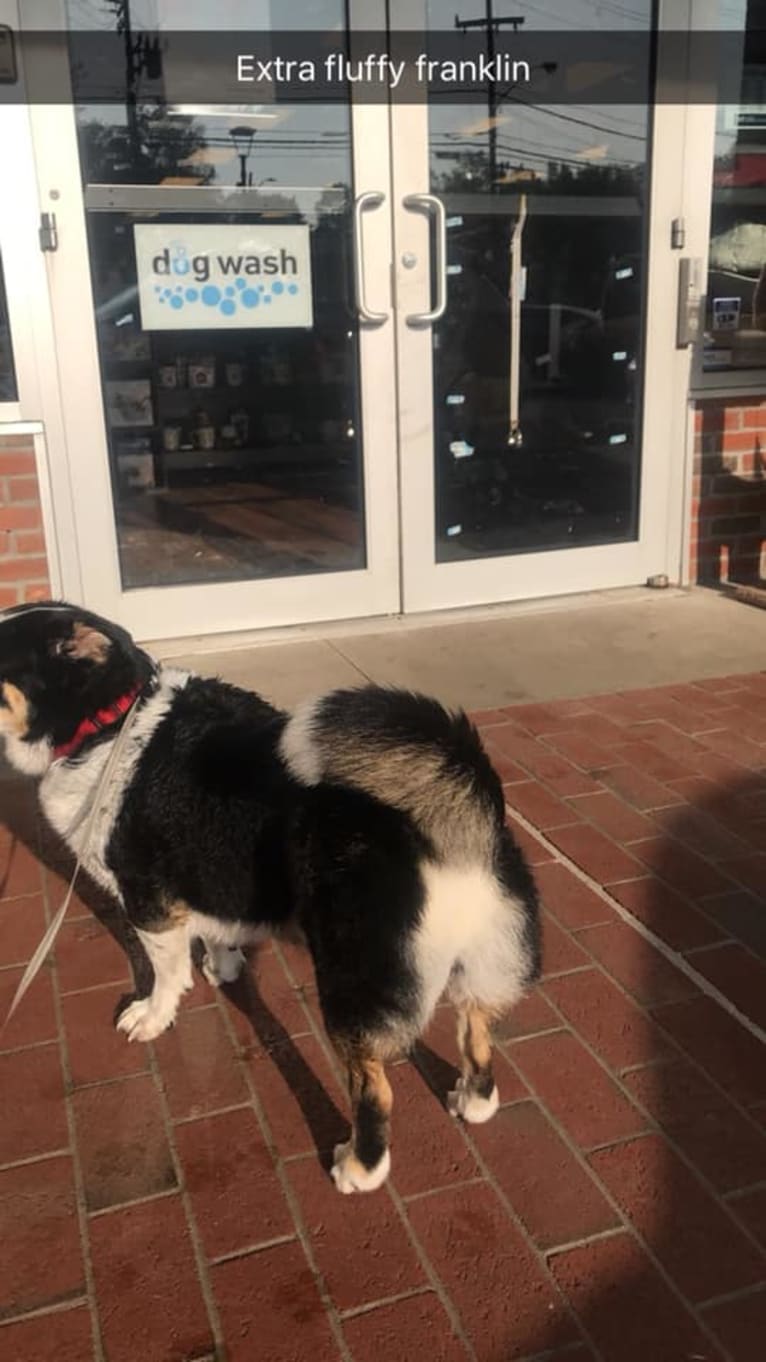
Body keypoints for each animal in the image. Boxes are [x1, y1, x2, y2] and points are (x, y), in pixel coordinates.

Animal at [0, 604, 537, 1193]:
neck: (106, 725)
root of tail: (457, 815)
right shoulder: (211, 880)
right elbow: (216, 933)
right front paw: (224, 966)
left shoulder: (149, 905)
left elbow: (165, 975)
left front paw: (153, 1016)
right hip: (479, 963)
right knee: (476, 1033)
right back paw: (473, 1100)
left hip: (351, 988)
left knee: (375, 1089)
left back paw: (358, 1167)